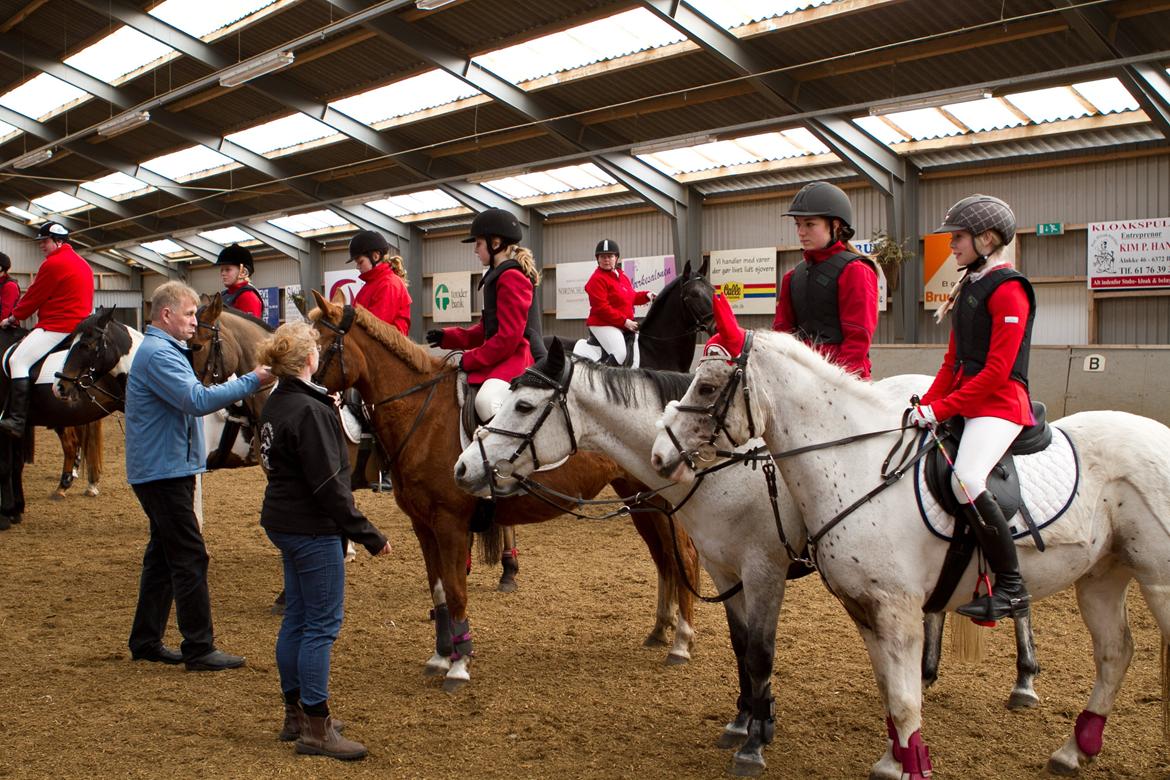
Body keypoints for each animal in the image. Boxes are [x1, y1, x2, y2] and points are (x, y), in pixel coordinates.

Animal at [306, 290, 697, 692]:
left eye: (318, 345)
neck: (422, 414)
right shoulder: (423, 526)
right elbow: (439, 590)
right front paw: (441, 655)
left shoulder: (449, 523)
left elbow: (456, 591)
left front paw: (459, 664)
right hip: (642, 502)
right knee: (663, 558)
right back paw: (659, 630)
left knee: (684, 557)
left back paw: (681, 642)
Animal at [449, 339, 1043, 776]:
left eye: (523, 406)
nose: (463, 468)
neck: (723, 467)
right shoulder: (724, 569)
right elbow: (740, 648)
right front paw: (745, 721)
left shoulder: (764, 571)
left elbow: (760, 651)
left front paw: (755, 742)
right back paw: (928, 668)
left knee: (1016, 600)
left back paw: (1024, 679)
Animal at [650, 327, 1170, 776]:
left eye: (707, 387)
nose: (659, 454)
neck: (855, 464)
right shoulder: (864, 609)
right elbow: (890, 692)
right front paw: (894, 759)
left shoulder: (894, 609)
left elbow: (902, 701)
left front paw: (911, 766)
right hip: (1102, 577)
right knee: (1115, 653)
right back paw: (1074, 749)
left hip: (1157, 581)